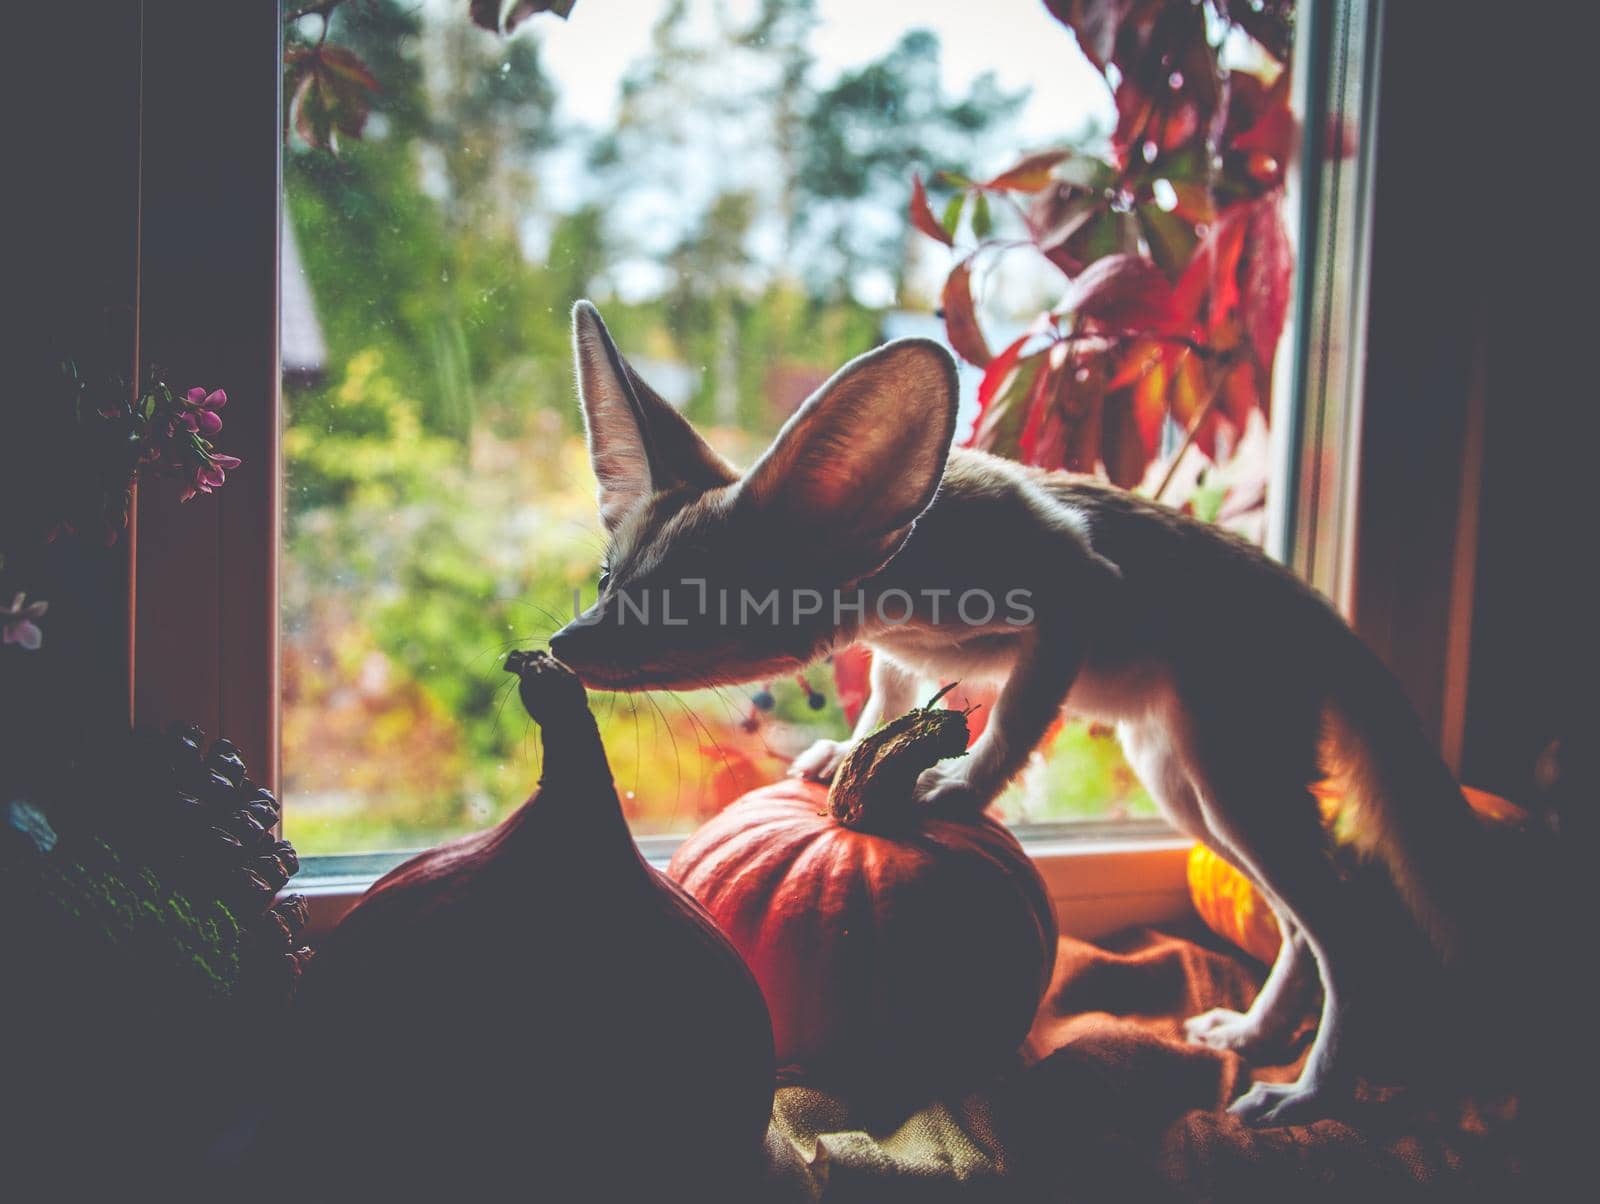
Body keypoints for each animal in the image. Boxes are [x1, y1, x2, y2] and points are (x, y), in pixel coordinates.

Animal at [550, 299, 1484, 1120]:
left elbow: (1014, 723)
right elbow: (886, 703)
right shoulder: (905, 654)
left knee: (1348, 932)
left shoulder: (1072, 588)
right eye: (608, 580)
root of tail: (1317, 604)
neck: (909, 559)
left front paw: (962, 788)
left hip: (1230, 788)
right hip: (1190, 787)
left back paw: (1312, 1093)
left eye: (681, 605)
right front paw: (844, 757)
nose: (561, 643)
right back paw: (1258, 1035)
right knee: (1299, 931)